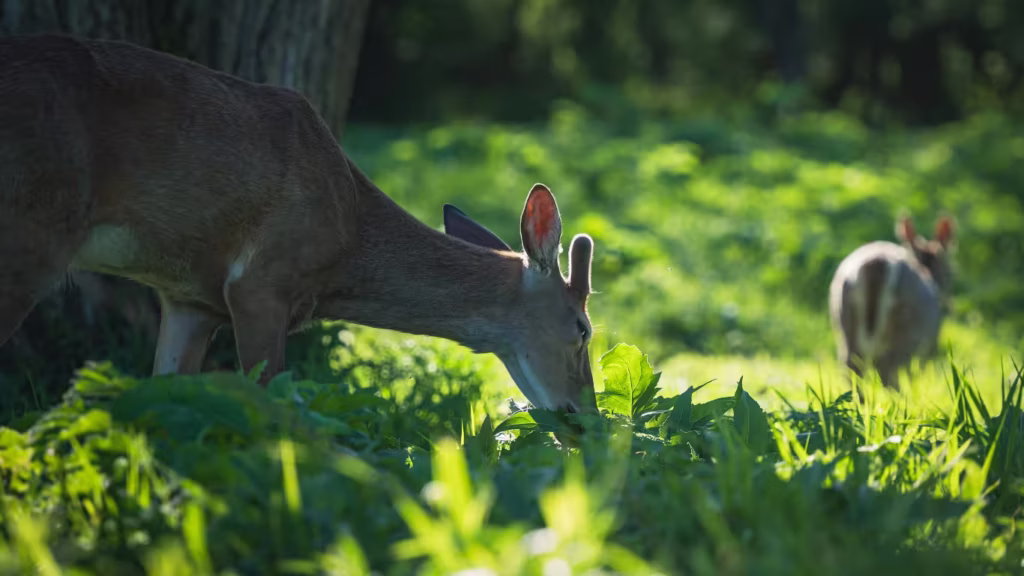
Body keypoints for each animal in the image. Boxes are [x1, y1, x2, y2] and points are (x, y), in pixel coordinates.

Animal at [0, 35, 598, 414]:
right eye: (583, 328)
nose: (586, 421)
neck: (349, 240)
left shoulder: (190, 298)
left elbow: (165, 390)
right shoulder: (260, 282)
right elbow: (271, 399)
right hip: (31, 224)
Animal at [828, 216, 954, 392]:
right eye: (947, 265)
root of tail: (876, 263)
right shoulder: (927, 346)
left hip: (844, 321)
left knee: (852, 371)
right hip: (905, 334)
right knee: (890, 377)